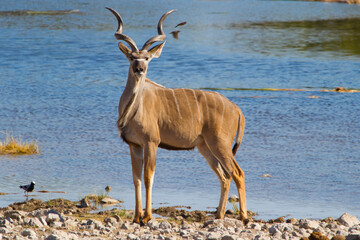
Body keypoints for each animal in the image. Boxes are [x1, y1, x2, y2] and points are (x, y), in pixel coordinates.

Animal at [107, 7, 248, 225]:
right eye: (132, 57)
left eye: (147, 58)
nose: (140, 69)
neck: (133, 109)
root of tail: (236, 109)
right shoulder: (134, 145)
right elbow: (135, 178)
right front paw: (136, 217)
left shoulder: (151, 143)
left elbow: (148, 177)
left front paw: (146, 216)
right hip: (205, 147)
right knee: (224, 176)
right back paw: (219, 215)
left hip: (220, 144)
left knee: (237, 173)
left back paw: (244, 217)